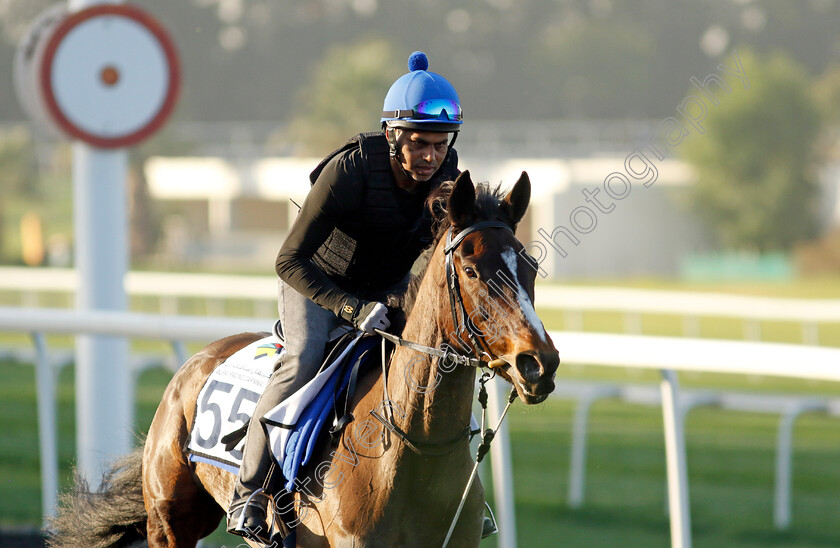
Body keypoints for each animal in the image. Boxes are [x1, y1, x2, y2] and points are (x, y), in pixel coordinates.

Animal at [46, 171, 556, 548]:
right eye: (470, 270)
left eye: (531, 267)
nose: (540, 363)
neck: (413, 451)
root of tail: (194, 364)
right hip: (170, 523)